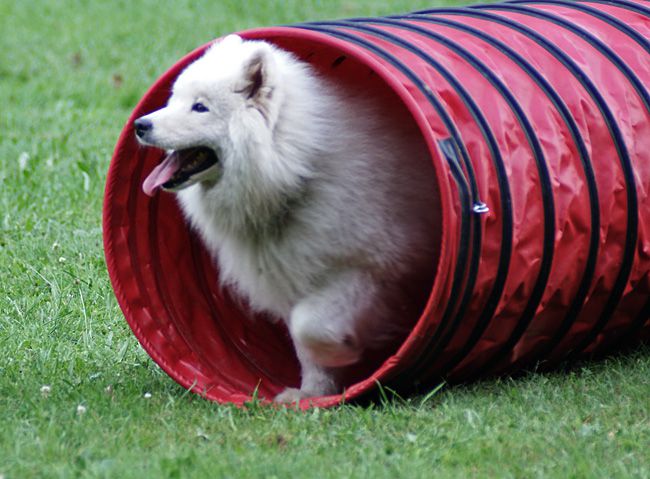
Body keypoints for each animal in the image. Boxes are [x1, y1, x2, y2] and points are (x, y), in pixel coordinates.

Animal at [134, 35, 436, 402]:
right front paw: (311, 393)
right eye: (174, 99)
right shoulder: (291, 274)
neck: (298, 170)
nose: (140, 125)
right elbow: (301, 338)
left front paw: (342, 352)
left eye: (200, 107)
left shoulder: (372, 270)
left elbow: (309, 325)